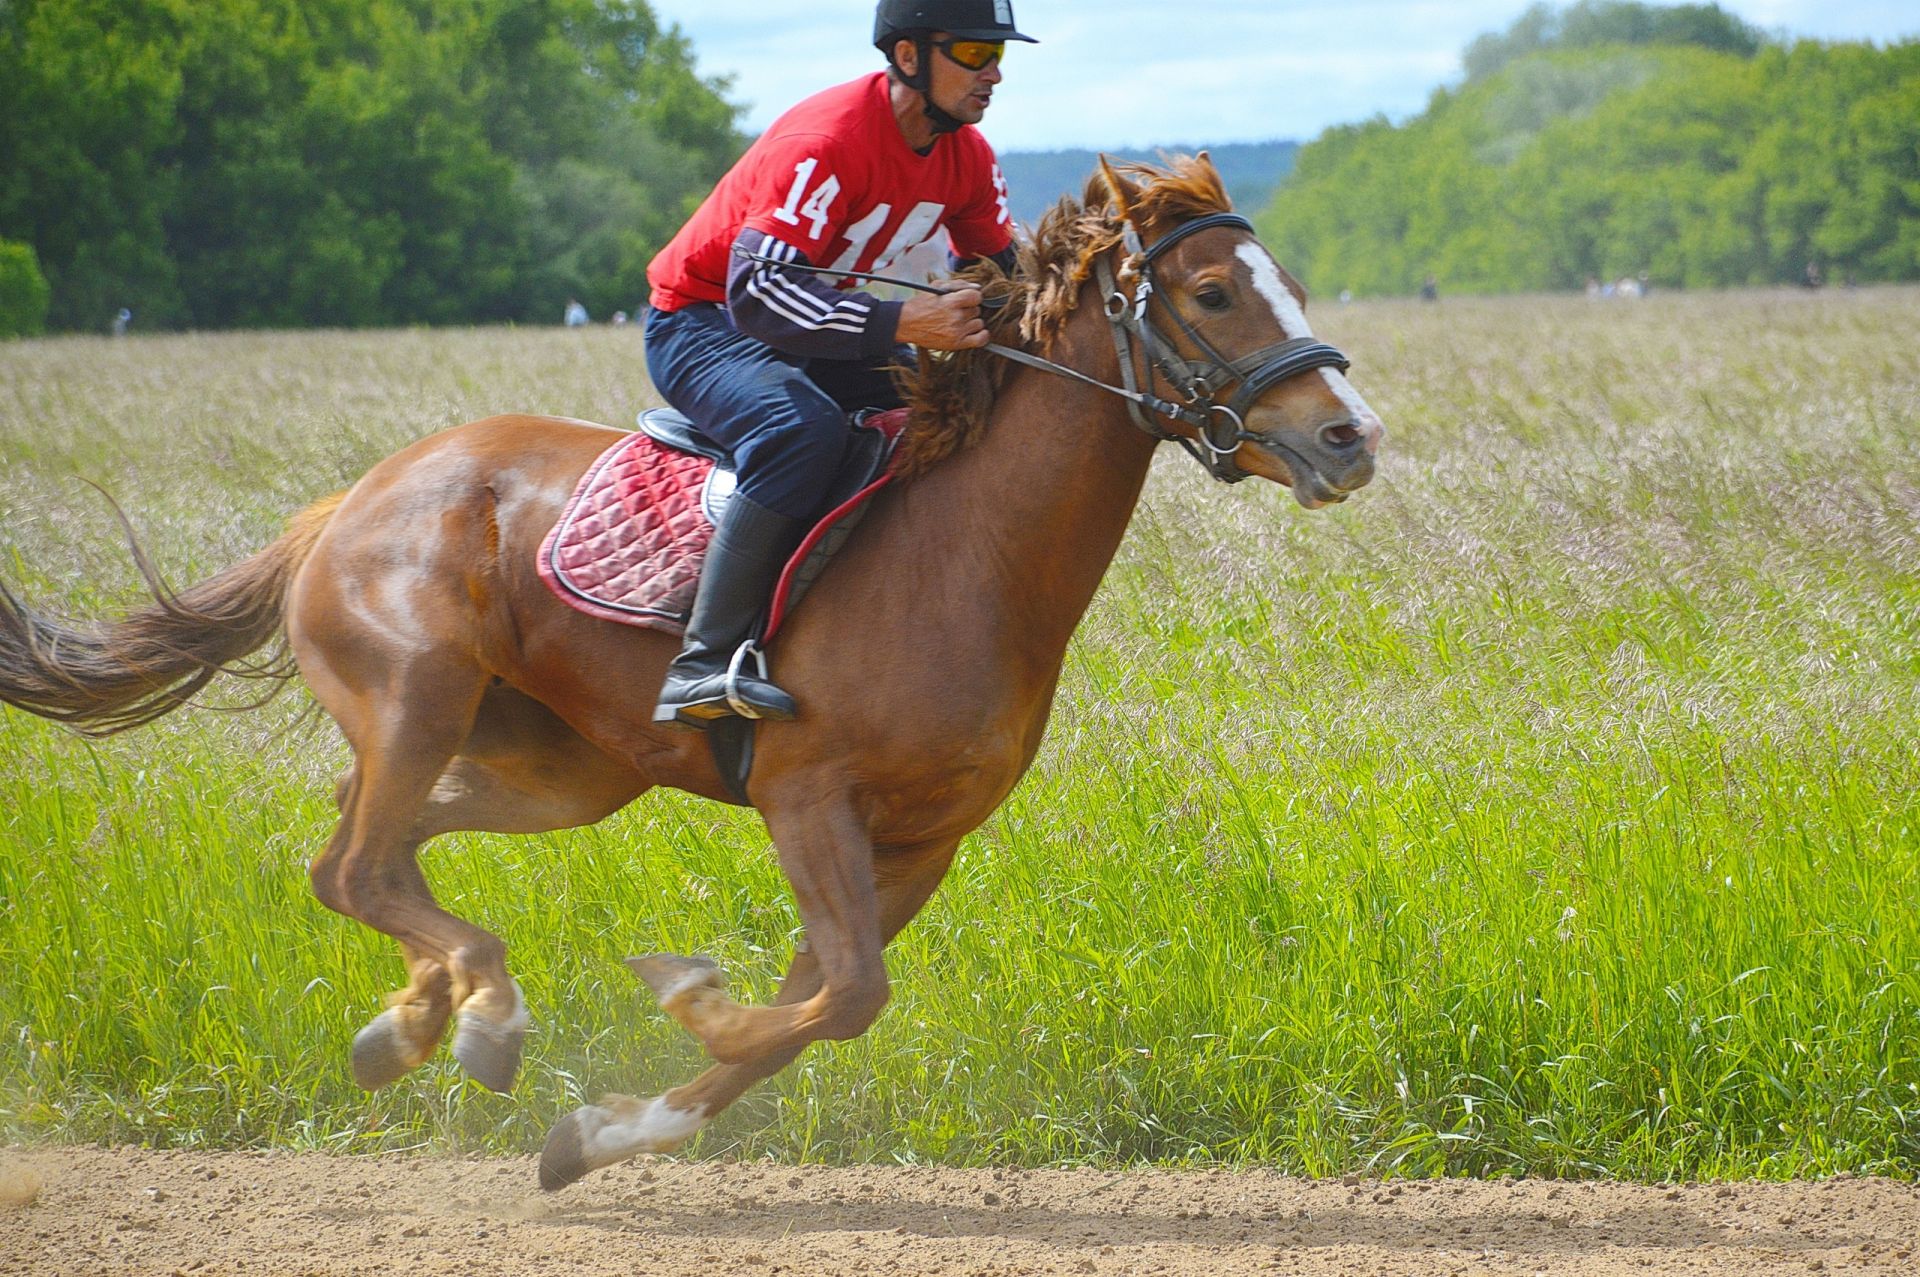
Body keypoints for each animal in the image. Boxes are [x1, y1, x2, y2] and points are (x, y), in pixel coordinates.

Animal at [0, 156, 1382, 1182]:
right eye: (1214, 292)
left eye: (1290, 282)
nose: (1348, 437)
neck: (968, 552)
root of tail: (352, 497)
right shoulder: (806, 796)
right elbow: (839, 998)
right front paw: (678, 995)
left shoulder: (922, 840)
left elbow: (813, 1013)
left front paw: (600, 1131)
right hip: (417, 698)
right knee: (358, 860)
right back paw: (479, 1012)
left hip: (562, 771)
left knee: (369, 846)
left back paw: (419, 1017)